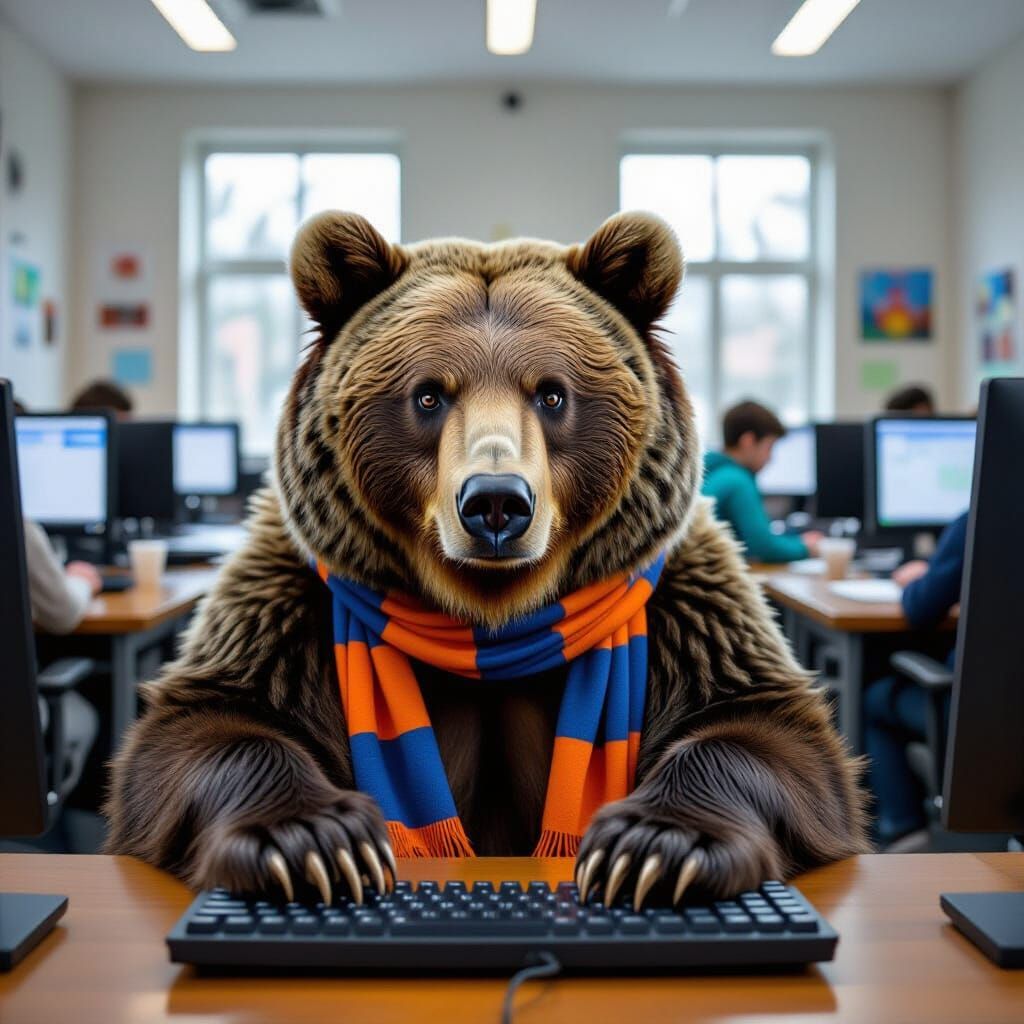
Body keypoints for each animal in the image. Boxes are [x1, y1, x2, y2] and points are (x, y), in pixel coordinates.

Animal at [105, 210, 867, 909]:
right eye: (428, 393)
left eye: (553, 392)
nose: (496, 503)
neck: (492, 617)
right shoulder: (288, 600)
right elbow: (208, 721)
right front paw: (311, 841)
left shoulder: (684, 601)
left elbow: (764, 728)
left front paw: (657, 846)